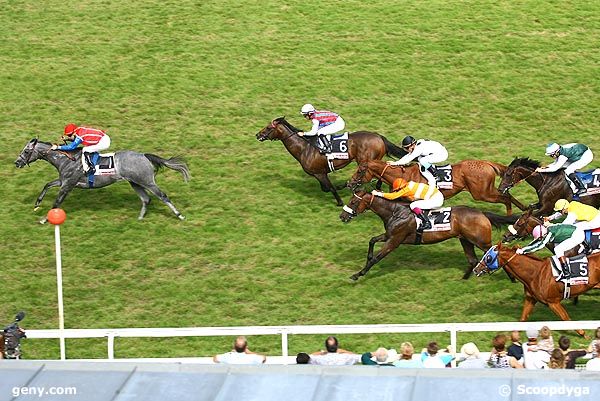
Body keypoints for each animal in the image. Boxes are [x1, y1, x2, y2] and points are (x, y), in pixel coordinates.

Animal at [15, 138, 190, 222]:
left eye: (26, 151)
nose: (17, 162)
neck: (66, 159)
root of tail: (144, 155)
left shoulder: (67, 185)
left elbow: (56, 203)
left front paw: (45, 219)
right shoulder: (64, 181)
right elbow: (47, 185)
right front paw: (37, 204)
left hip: (147, 181)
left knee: (162, 196)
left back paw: (179, 215)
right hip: (135, 182)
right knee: (146, 199)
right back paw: (140, 218)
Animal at [255, 116, 406, 205]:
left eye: (268, 127)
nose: (257, 135)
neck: (304, 148)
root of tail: (379, 137)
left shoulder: (319, 173)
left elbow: (330, 188)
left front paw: (339, 201)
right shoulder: (321, 173)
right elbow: (325, 188)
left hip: (366, 161)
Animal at [338, 190, 516, 278]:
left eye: (353, 201)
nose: (342, 216)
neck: (396, 211)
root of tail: (482, 213)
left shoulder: (395, 240)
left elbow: (377, 257)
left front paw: (358, 274)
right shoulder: (390, 235)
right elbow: (372, 240)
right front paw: (367, 258)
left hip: (480, 241)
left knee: (495, 252)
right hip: (465, 240)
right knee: (472, 260)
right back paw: (464, 279)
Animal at [346, 159, 524, 216]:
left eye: (360, 170)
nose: (350, 183)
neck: (403, 175)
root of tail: (486, 163)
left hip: (482, 193)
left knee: (505, 198)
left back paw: (510, 215)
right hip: (486, 191)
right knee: (507, 195)